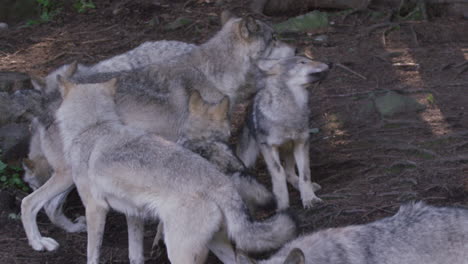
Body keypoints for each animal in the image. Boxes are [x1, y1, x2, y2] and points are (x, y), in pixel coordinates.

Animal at [238, 56, 330, 210]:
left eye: (308, 59)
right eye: (302, 62)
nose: (330, 64)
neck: (289, 111)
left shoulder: (301, 143)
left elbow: (305, 174)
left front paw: (309, 199)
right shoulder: (269, 148)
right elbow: (278, 174)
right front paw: (282, 205)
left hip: (289, 148)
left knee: (290, 173)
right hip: (248, 158)